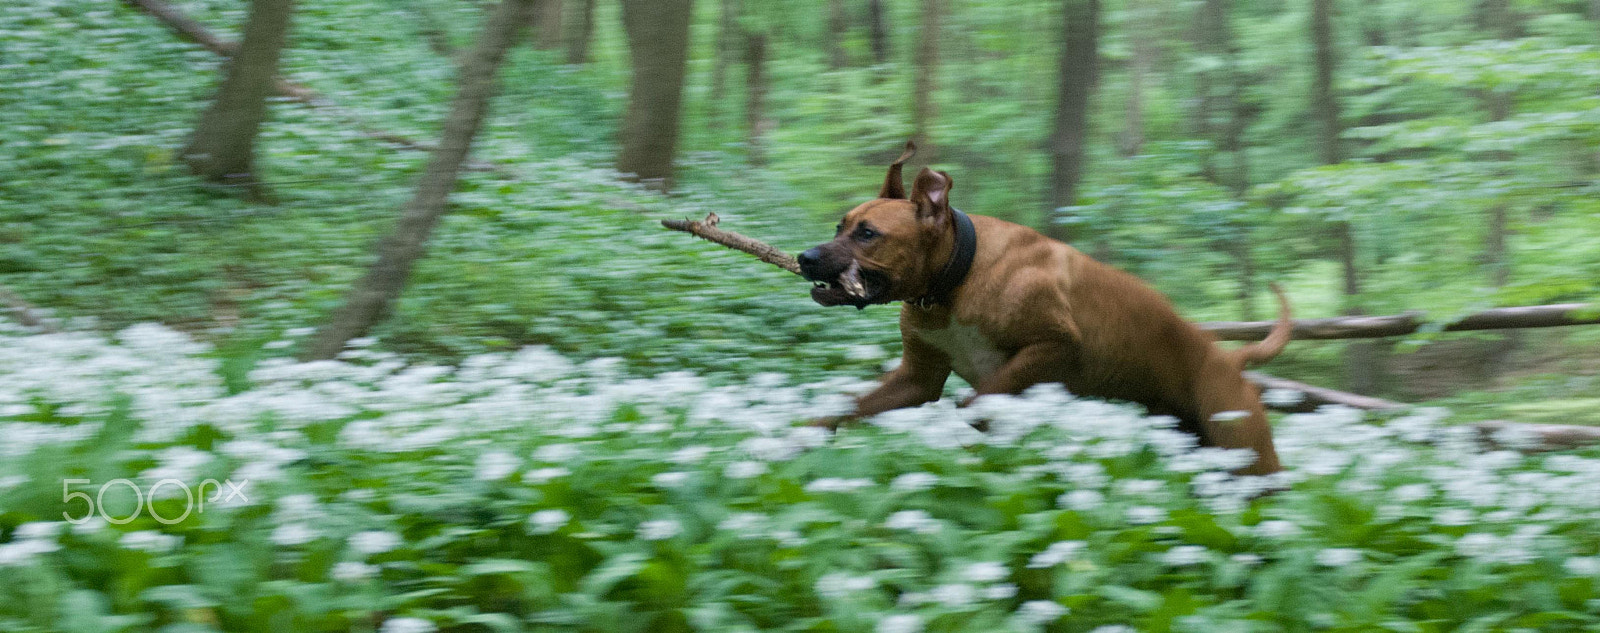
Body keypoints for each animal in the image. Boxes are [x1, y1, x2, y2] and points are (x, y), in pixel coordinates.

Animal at [793, 142, 1292, 469]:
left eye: (868, 234)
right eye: (840, 226)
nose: (805, 257)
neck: (953, 283)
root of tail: (1230, 360)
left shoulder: (1053, 346)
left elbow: (984, 395)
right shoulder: (916, 381)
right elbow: (847, 407)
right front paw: (800, 439)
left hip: (1246, 452)